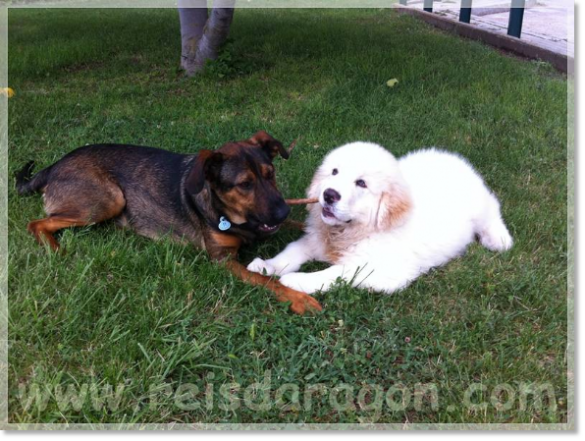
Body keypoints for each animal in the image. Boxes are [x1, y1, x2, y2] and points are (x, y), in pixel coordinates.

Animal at [16, 131, 322, 312]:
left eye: (270, 174)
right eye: (245, 184)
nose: (282, 212)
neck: (235, 218)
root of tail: (53, 166)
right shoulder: (222, 259)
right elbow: (266, 280)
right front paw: (300, 298)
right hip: (109, 198)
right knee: (36, 224)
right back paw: (56, 250)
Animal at [246, 143, 512, 294]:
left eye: (361, 183)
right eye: (334, 172)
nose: (329, 195)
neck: (354, 231)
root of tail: (453, 159)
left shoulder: (380, 270)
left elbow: (335, 274)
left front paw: (296, 281)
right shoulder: (315, 239)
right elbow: (291, 251)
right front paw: (267, 265)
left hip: (480, 205)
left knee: (493, 210)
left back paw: (499, 239)